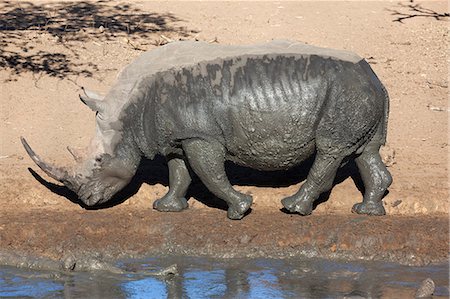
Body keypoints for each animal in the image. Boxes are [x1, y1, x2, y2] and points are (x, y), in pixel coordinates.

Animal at [22, 40, 390, 220]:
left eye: (99, 162)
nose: (86, 201)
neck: (127, 109)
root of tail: (374, 77)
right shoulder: (178, 136)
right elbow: (179, 172)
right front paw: (166, 208)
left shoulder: (201, 136)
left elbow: (209, 173)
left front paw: (240, 210)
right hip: (359, 93)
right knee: (365, 151)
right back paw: (367, 213)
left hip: (345, 92)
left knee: (330, 149)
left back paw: (293, 208)